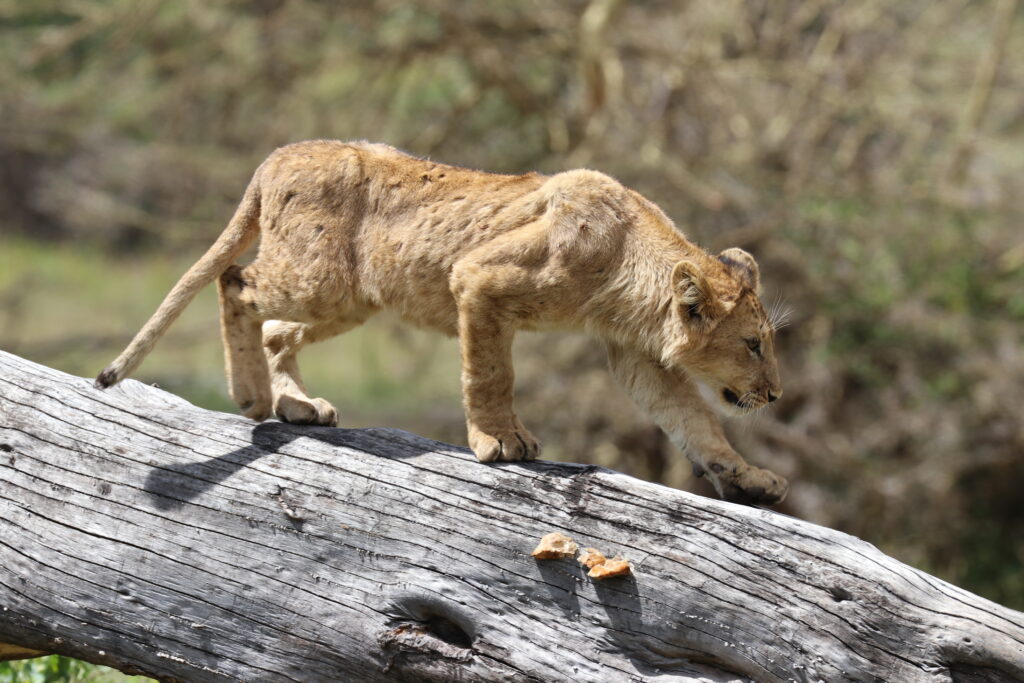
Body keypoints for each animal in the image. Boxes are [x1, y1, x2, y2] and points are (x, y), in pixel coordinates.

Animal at [97, 140, 782, 501]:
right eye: (753, 345)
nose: (775, 394)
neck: (631, 261)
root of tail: (280, 154)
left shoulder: (636, 355)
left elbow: (696, 423)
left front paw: (750, 478)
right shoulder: (478, 279)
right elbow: (491, 374)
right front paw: (501, 442)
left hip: (347, 298)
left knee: (274, 328)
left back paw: (296, 405)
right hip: (319, 279)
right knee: (234, 282)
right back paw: (251, 395)